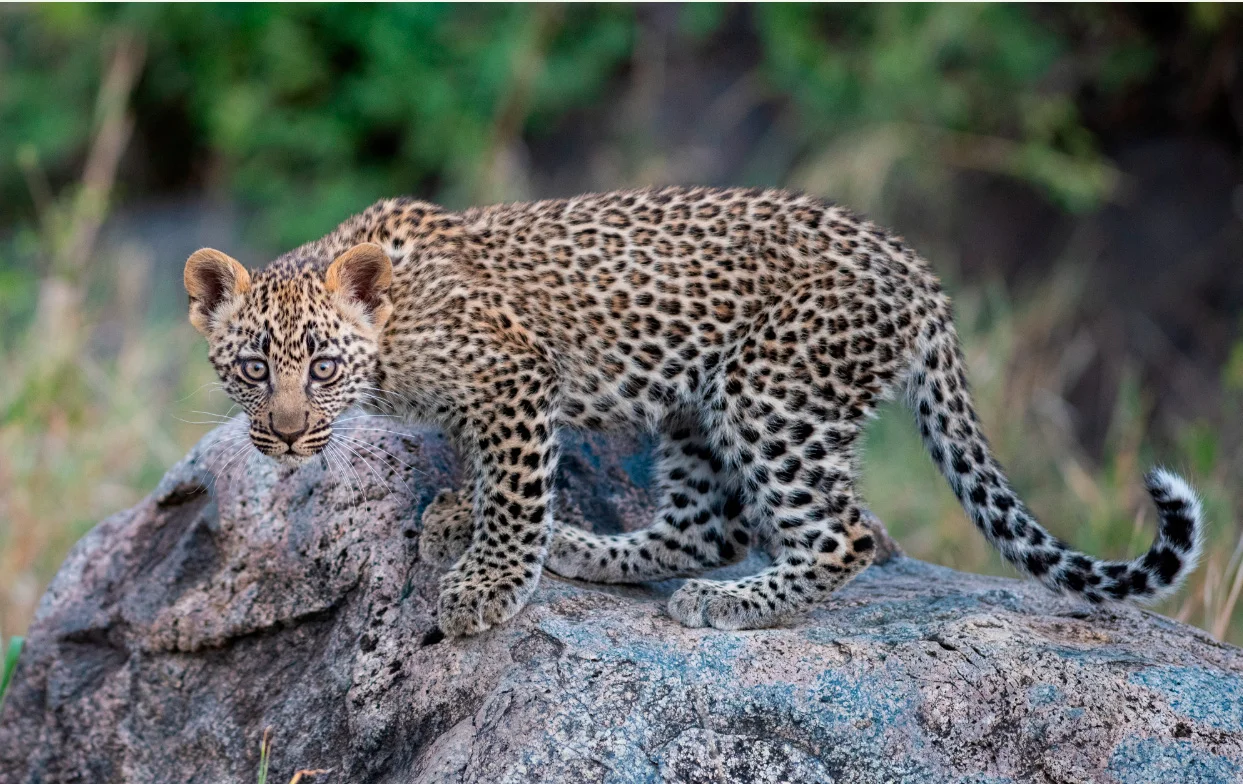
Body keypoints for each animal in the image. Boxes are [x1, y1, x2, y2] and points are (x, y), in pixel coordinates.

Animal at [184, 185, 1205, 638]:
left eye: (321, 367)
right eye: (250, 367)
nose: (284, 435)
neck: (392, 336)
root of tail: (916, 270)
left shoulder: (516, 376)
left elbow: (515, 486)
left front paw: (484, 582)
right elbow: (487, 469)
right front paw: (458, 516)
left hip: (773, 390)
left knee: (845, 532)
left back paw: (732, 603)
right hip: (691, 403)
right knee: (708, 525)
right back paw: (591, 551)